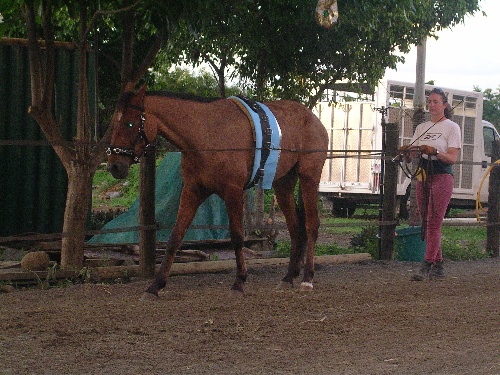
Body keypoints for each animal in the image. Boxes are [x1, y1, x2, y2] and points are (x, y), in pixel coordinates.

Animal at [106, 83, 328, 300]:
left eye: (130, 124)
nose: (114, 166)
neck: (207, 135)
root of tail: (314, 119)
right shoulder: (192, 191)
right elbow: (175, 237)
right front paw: (155, 286)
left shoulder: (233, 192)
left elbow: (237, 237)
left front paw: (239, 282)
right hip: (283, 185)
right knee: (295, 228)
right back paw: (288, 277)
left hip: (309, 178)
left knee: (311, 226)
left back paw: (307, 278)